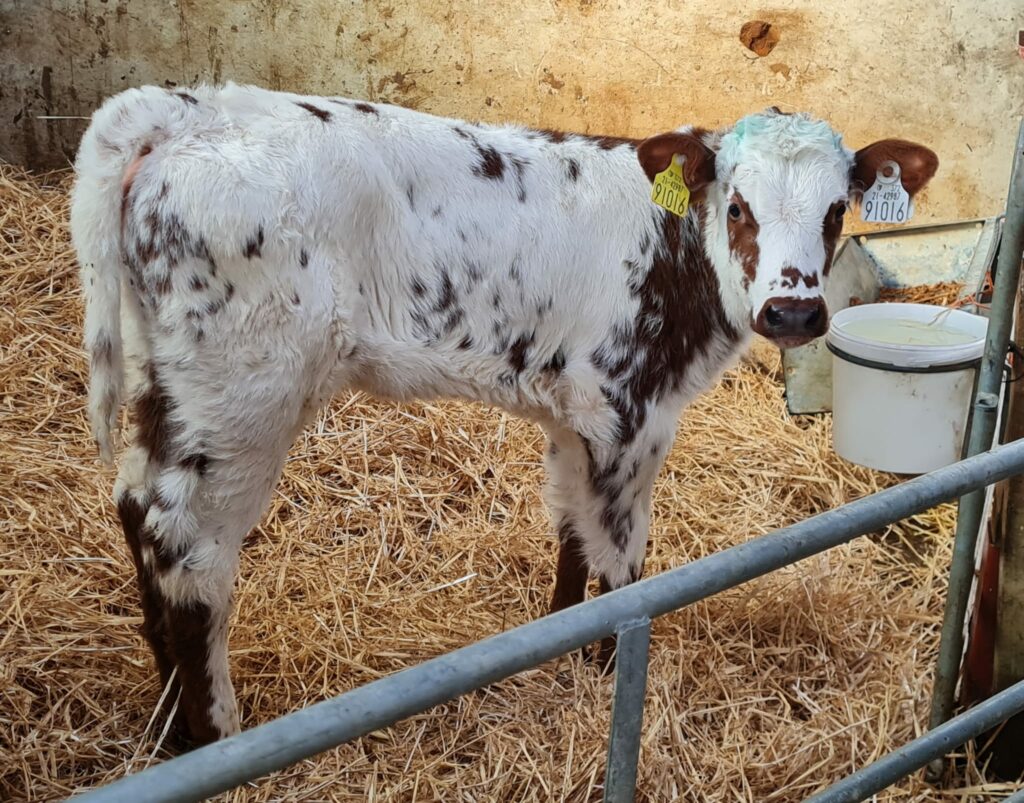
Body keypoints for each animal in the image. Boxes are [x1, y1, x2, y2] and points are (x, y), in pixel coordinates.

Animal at [69, 82, 938, 745]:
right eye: (739, 208)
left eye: (837, 210)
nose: (793, 312)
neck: (675, 250)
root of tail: (190, 108)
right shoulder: (631, 410)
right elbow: (622, 558)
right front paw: (609, 670)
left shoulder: (575, 414)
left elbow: (573, 531)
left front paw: (559, 647)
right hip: (242, 390)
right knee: (188, 546)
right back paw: (214, 733)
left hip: (165, 373)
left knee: (134, 507)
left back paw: (167, 727)